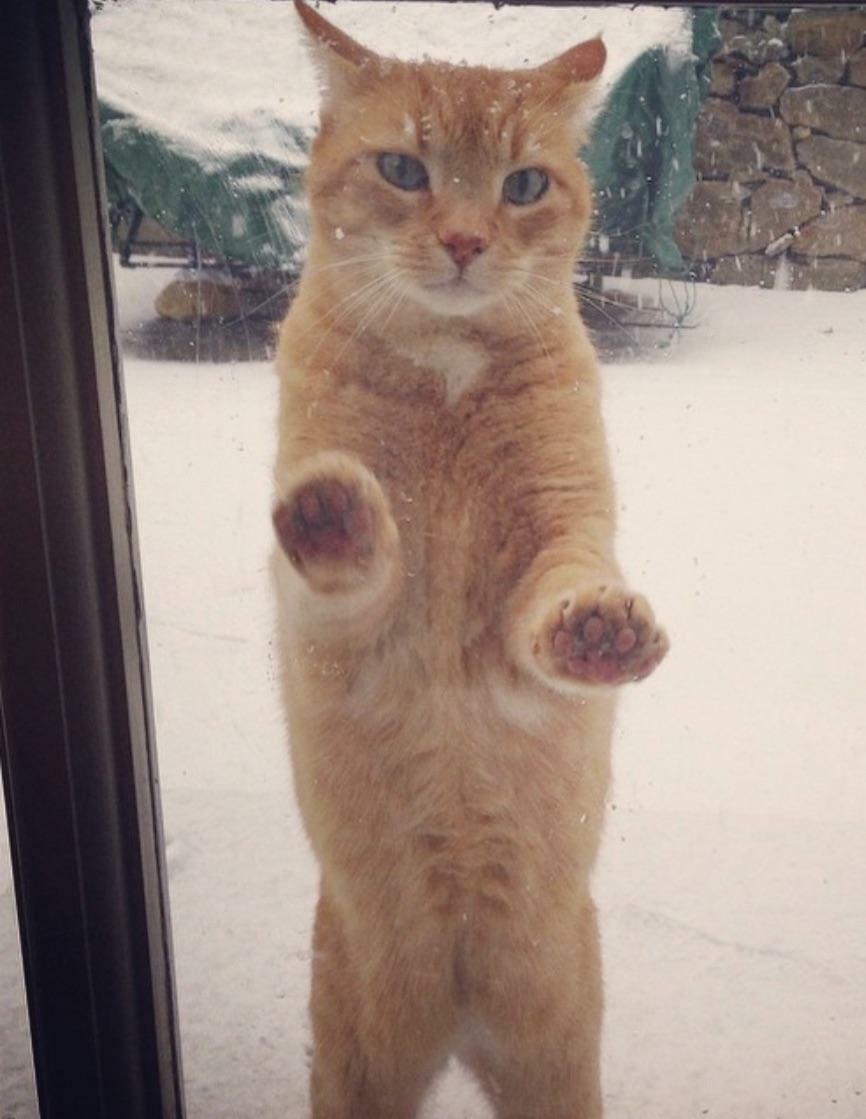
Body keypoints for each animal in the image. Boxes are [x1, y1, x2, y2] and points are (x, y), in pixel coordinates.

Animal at [273, 4, 671, 1114]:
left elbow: (558, 595)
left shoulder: (560, 529)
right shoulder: (329, 629)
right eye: (404, 169)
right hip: (356, 1071)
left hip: (556, 1070)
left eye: (523, 185)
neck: (446, 376)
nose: (462, 239)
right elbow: (345, 572)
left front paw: (597, 633)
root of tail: (456, 1026)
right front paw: (337, 515)